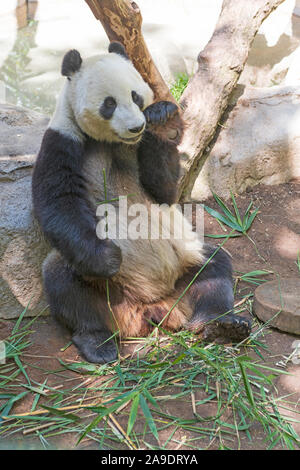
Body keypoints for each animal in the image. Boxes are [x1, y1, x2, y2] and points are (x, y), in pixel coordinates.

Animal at [32, 41, 251, 364]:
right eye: (109, 104)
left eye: (136, 96)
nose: (136, 127)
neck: (114, 142)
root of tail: (151, 307)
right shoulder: (63, 140)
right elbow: (59, 203)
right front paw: (109, 257)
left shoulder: (143, 152)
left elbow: (165, 191)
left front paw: (162, 119)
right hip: (103, 288)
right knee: (65, 284)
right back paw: (98, 343)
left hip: (185, 264)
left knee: (214, 271)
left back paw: (223, 324)